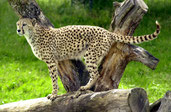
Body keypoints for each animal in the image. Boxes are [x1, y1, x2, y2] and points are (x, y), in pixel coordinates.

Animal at [16, 18, 160, 100]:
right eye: (17, 24)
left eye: (24, 24)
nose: (18, 30)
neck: (32, 34)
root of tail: (107, 31)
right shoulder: (55, 60)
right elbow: (55, 78)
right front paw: (54, 94)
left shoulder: (51, 61)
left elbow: (53, 80)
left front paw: (54, 95)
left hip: (90, 54)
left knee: (96, 73)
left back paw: (85, 88)